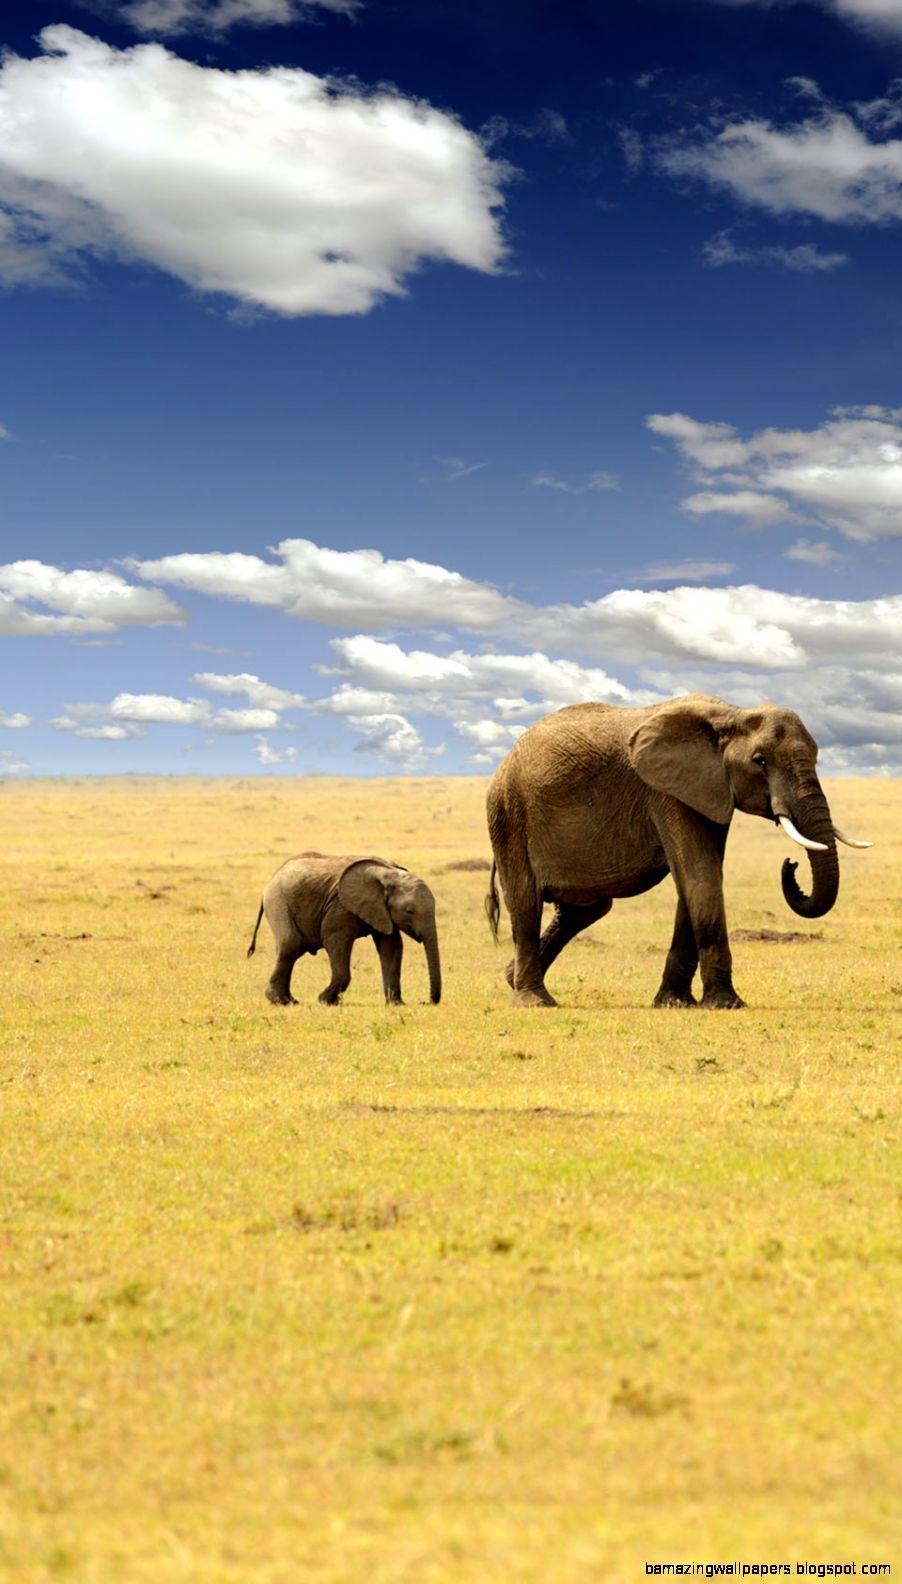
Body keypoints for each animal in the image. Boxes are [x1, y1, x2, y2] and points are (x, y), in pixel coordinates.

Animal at [247, 852, 441, 1007]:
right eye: (410, 911)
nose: (424, 1001)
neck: (388, 873)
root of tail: (272, 879)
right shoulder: (341, 906)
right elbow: (335, 940)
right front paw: (325, 1001)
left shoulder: (382, 911)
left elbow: (391, 947)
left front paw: (397, 1004)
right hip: (278, 901)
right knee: (290, 945)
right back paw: (280, 1001)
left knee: (291, 951)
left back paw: (290, 1000)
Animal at [485, 694, 871, 1010]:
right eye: (760, 761)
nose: (790, 864)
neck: (732, 714)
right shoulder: (666, 792)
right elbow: (701, 875)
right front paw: (726, 1004)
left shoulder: (707, 789)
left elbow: (696, 881)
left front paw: (675, 1002)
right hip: (509, 814)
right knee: (526, 901)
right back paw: (534, 1001)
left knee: (585, 909)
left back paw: (510, 977)